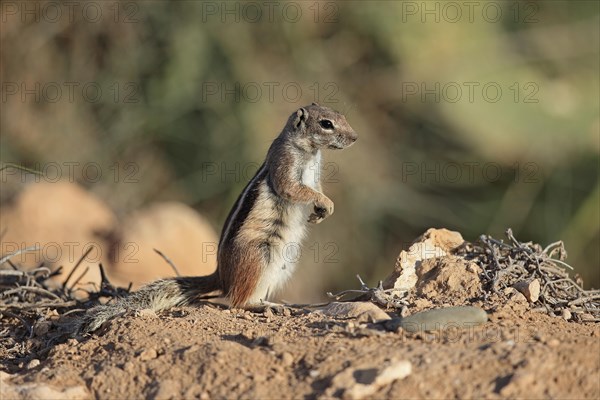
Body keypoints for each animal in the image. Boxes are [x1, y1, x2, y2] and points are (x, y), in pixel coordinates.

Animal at [75, 104, 356, 334]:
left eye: (342, 116)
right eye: (326, 124)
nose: (355, 137)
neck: (310, 151)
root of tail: (221, 275)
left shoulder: (315, 176)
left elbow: (316, 189)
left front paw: (322, 210)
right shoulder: (284, 165)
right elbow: (294, 189)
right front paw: (325, 204)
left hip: (283, 265)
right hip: (259, 256)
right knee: (237, 302)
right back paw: (262, 306)